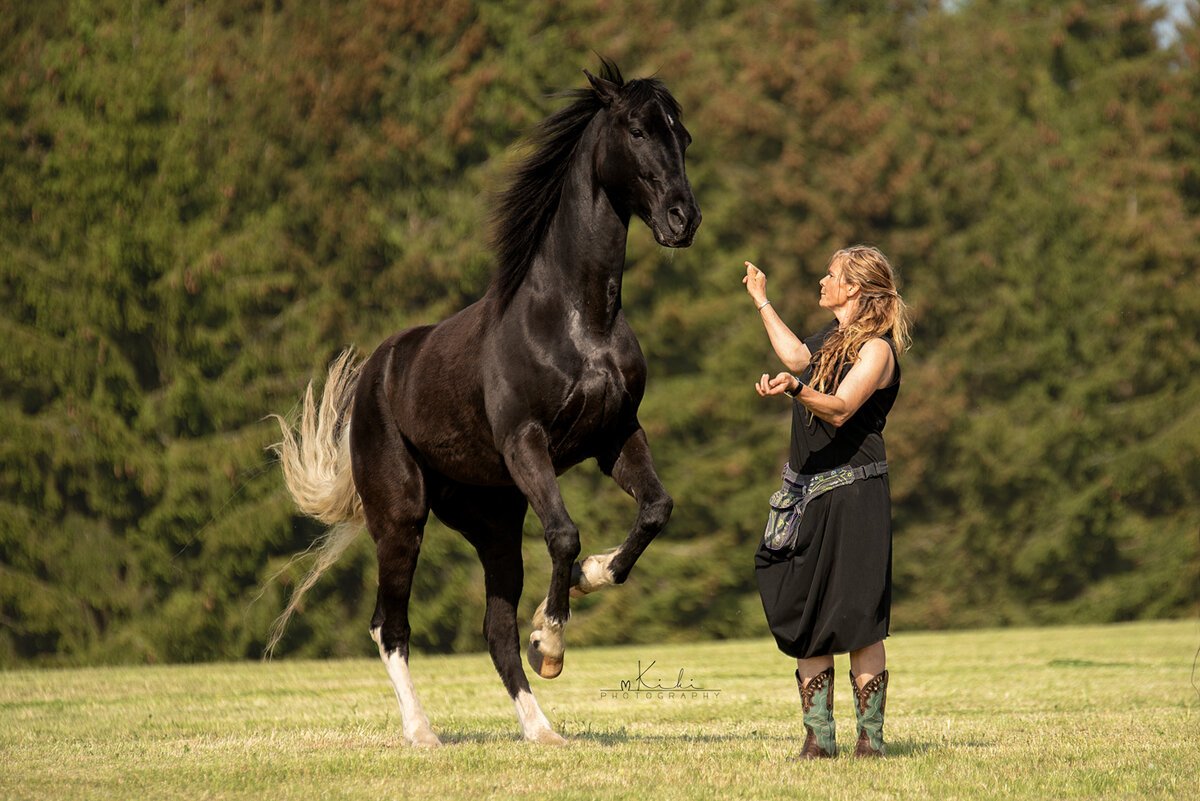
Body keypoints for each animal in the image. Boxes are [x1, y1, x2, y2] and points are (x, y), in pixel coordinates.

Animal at [270, 61, 700, 743]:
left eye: (682, 135)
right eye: (636, 130)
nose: (683, 219)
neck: (578, 320)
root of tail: (375, 375)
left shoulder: (615, 438)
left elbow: (656, 508)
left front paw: (591, 580)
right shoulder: (526, 442)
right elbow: (564, 534)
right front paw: (551, 638)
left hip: (492, 523)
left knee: (494, 631)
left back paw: (541, 730)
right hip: (401, 520)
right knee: (389, 624)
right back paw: (423, 733)